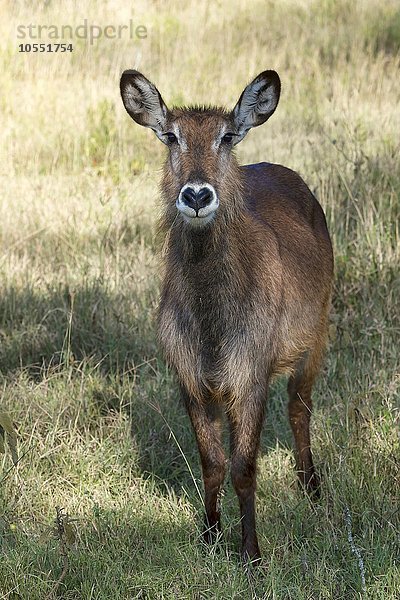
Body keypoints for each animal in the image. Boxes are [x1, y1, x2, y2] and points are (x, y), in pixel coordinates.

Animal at [120, 69, 332, 564]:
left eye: (227, 136)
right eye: (171, 136)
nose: (197, 194)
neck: (212, 321)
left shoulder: (250, 376)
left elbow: (244, 468)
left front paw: (251, 552)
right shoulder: (192, 380)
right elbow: (214, 463)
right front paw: (211, 535)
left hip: (315, 337)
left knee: (299, 406)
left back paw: (311, 487)